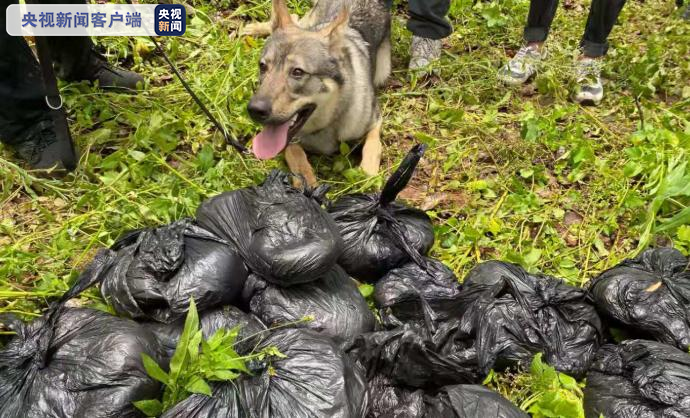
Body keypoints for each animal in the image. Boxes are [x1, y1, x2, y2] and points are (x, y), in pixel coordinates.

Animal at [245, 0, 390, 186]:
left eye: (297, 72)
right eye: (263, 66)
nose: (254, 110)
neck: (327, 124)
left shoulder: (375, 119)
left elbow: (373, 145)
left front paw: (368, 173)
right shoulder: (290, 141)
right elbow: (295, 154)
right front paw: (306, 181)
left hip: (384, 71)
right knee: (294, 18)